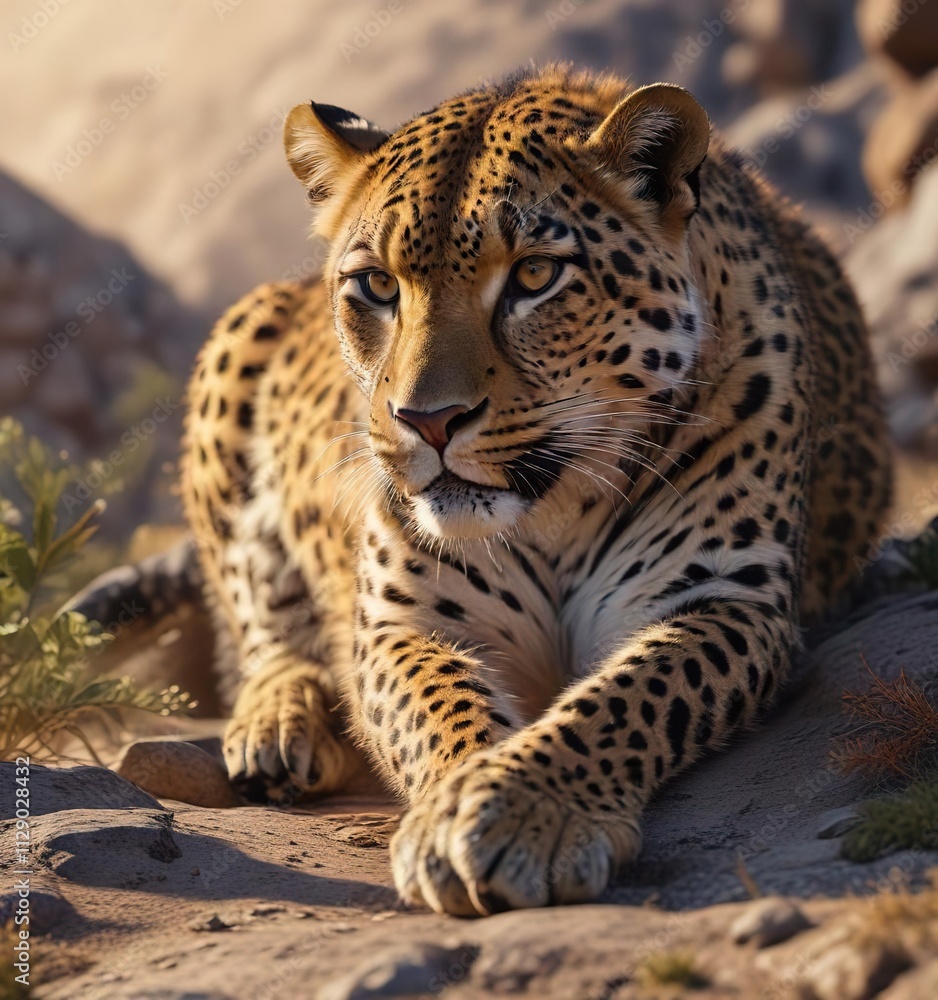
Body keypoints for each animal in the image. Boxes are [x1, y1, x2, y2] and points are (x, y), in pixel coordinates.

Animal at [181, 65, 892, 916]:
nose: (428, 420)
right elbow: (436, 705)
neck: (555, 512)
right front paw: (457, 809)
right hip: (234, 344)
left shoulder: (722, 597)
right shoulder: (404, 622)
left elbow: (627, 698)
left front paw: (521, 812)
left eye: (533, 275)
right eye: (377, 286)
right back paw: (279, 727)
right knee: (262, 625)